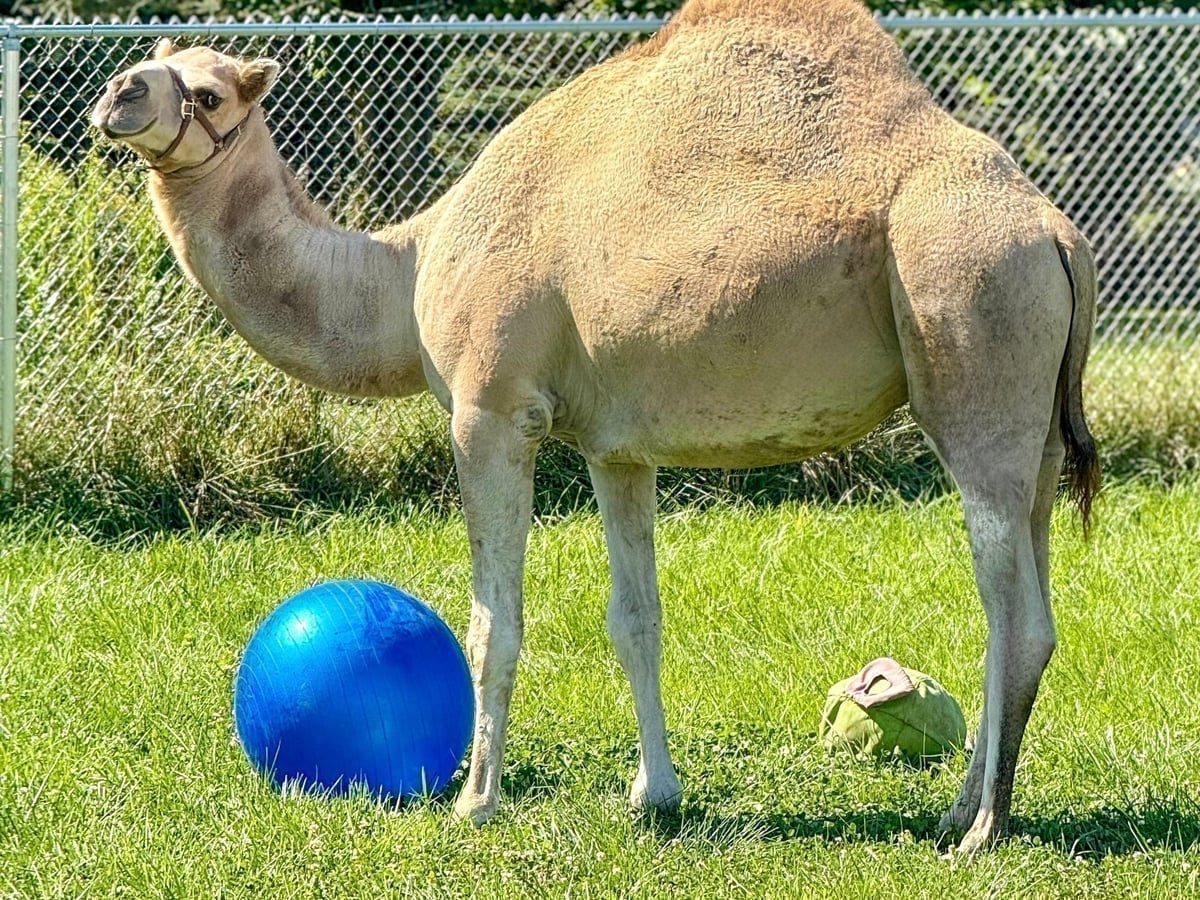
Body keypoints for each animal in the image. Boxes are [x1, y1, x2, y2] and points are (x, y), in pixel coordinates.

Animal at [91, 0, 1099, 853]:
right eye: (153, 62)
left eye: (212, 90)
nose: (118, 95)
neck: (413, 263)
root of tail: (1058, 230)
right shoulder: (620, 449)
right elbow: (636, 619)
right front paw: (654, 796)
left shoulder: (492, 410)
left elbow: (495, 623)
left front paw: (476, 802)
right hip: (1037, 425)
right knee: (1033, 594)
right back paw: (963, 809)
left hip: (968, 326)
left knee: (1011, 612)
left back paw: (981, 828)